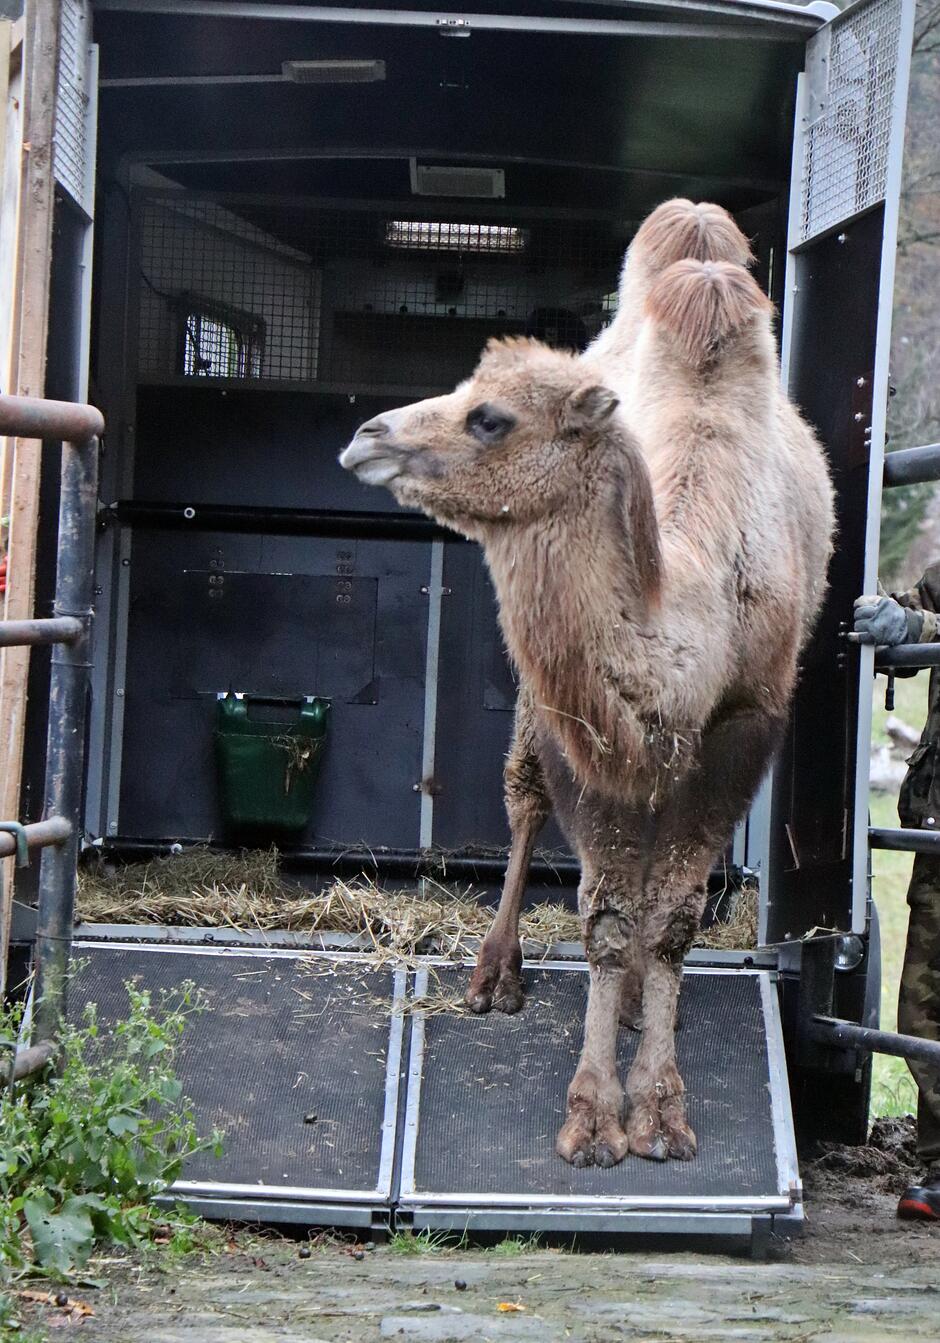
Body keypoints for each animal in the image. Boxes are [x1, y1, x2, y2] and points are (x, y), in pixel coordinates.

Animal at [339, 196, 837, 1165]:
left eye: (488, 417)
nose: (363, 436)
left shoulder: (744, 721)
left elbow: (671, 915)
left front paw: (662, 1111)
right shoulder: (582, 721)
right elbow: (604, 916)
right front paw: (594, 1115)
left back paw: (642, 1004)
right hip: (542, 701)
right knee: (526, 798)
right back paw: (496, 974)